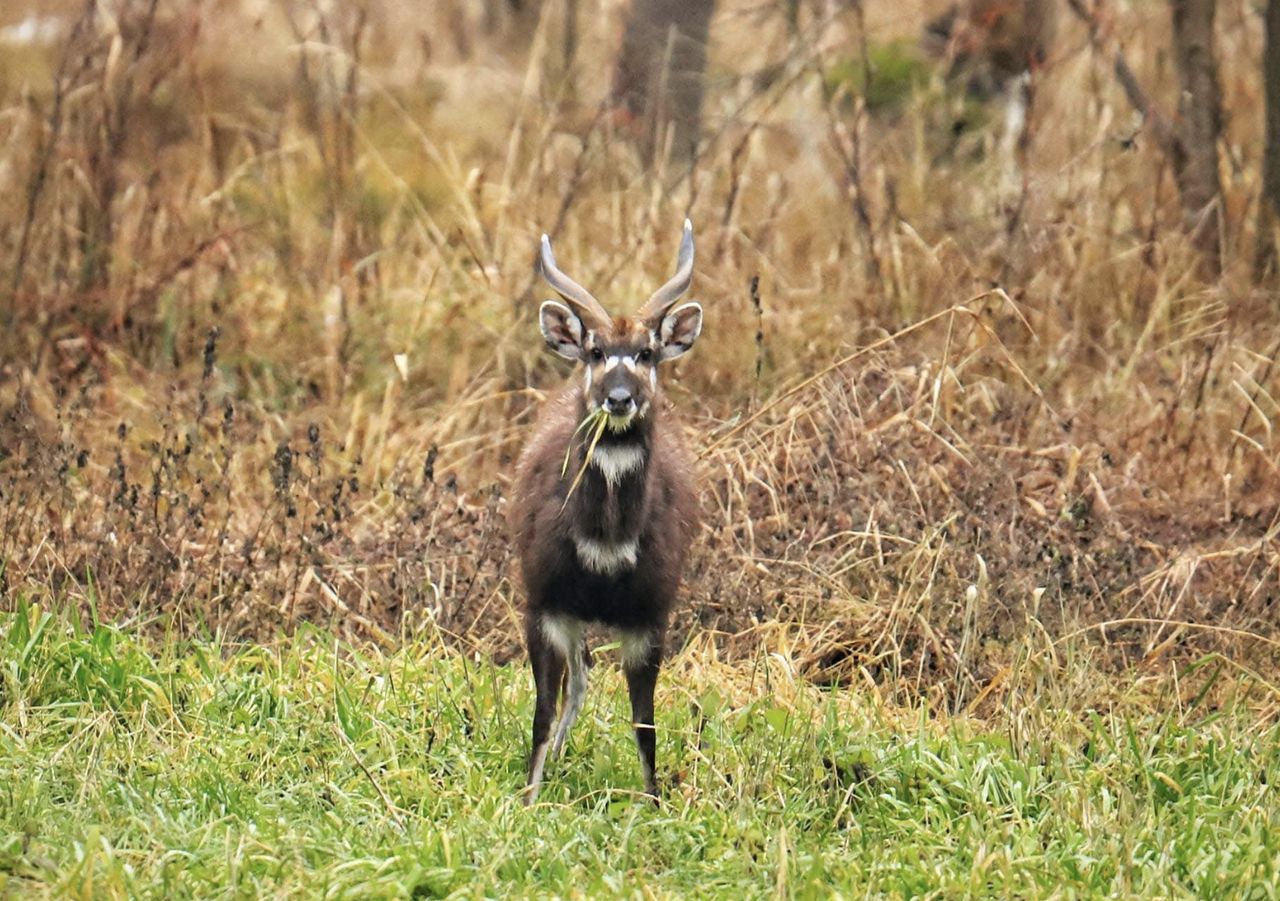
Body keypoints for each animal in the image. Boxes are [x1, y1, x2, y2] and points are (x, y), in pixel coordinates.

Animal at [509, 221, 706, 803]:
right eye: (595, 352)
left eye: (647, 353)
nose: (618, 398)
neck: (604, 548)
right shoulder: (544, 603)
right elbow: (541, 711)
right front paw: (527, 800)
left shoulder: (651, 616)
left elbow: (646, 725)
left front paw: (655, 802)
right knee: (577, 680)